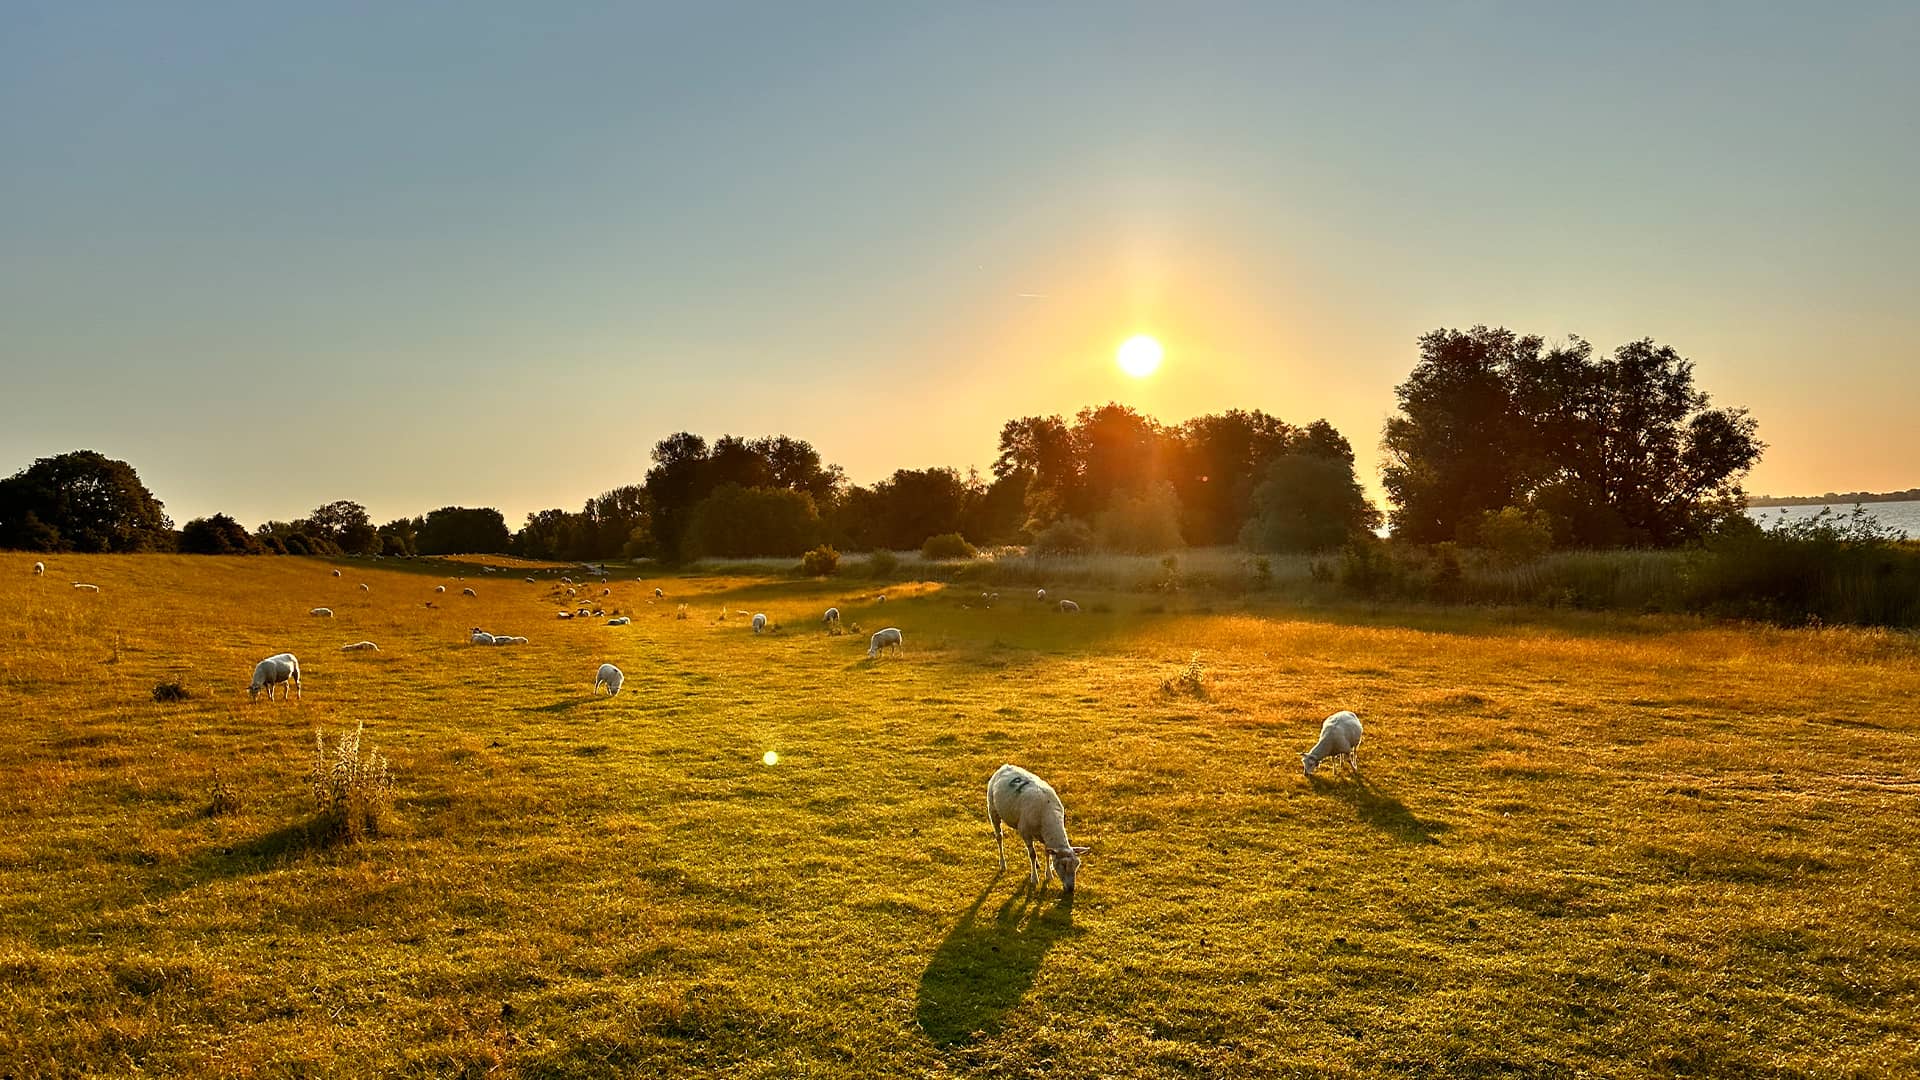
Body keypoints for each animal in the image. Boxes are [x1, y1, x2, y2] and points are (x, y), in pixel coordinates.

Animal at [990, 760, 1098, 895]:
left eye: (1077, 865)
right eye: (1063, 865)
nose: (1071, 889)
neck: (1048, 815)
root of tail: (1005, 766)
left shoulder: (1045, 837)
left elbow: (1046, 853)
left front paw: (1049, 875)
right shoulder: (1025, 832)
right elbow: (1032, 854)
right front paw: (1034, 878)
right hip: (992, 809)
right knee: (999, 837)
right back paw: (1003, 864)